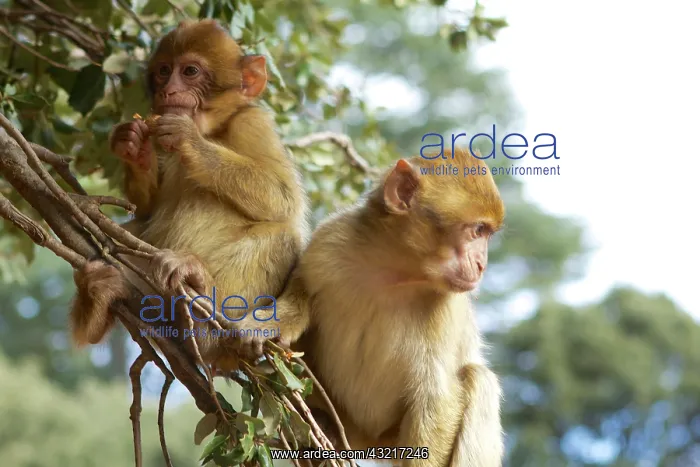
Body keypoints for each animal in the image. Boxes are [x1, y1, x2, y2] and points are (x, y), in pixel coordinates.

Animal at [69, 19, 309, 374]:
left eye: (191, 71)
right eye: (164, 71)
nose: (168, 91)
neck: (213, 129)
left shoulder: (253, 124)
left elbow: (283, 199)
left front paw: (188, 139)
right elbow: (145, 208)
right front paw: (132, 145)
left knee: (283, 236)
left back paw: (200, 295)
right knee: (135, 230)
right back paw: (98, 300)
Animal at [247, 147, 505, 466]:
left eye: (486, 233)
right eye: (477, 230)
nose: (482, 264)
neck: (395, 271)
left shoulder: (449, 308)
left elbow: (436, 398)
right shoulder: (332, 238)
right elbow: (302, 285)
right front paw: (272, 324)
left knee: (480, 381)